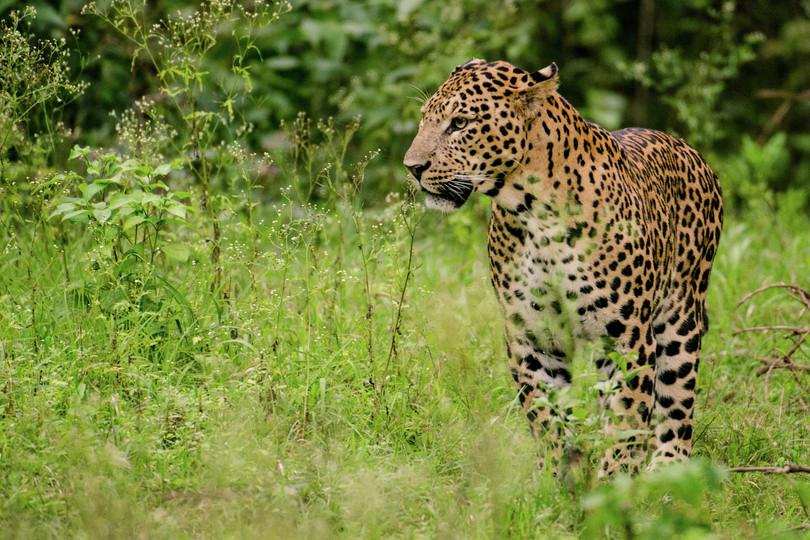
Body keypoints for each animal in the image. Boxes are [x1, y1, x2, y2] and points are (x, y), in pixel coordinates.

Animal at [400, 59, 724, 472]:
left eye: (460, 123)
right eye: (424, 118)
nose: (412, 167)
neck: (533, 213)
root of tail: (689, 150)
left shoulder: (627, 339)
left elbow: (627, 421)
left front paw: (613, 481)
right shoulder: (532, 337)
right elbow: (546, 416)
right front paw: (558, 476)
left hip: (680, 318)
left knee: (677, 404)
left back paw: (667, 469)